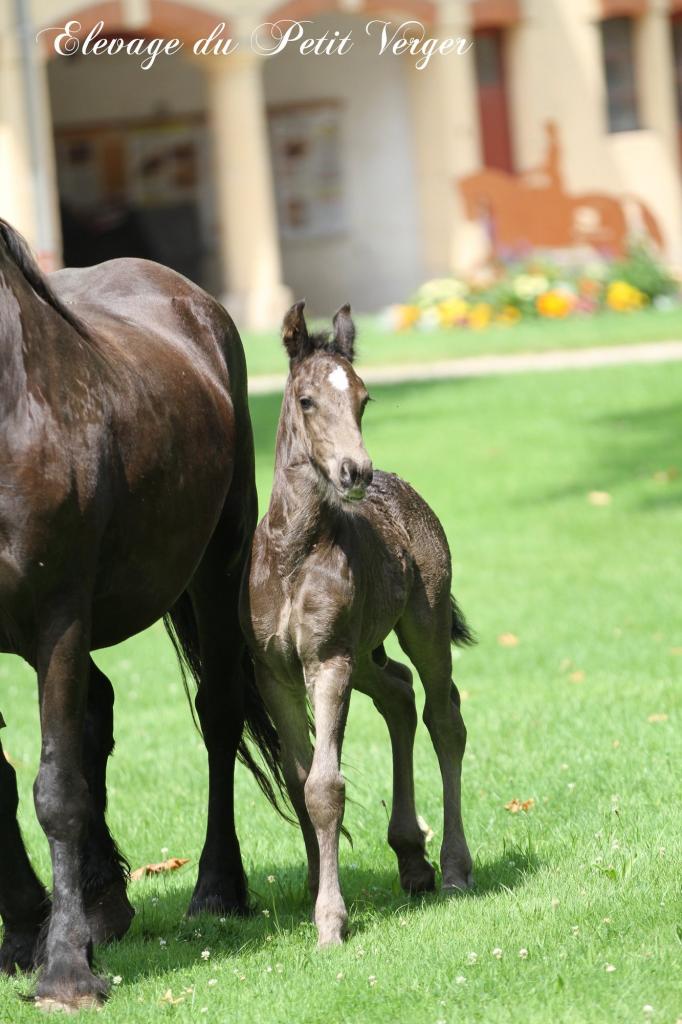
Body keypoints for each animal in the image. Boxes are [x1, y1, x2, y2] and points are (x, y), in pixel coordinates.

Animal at [0, 222, 280, 1007]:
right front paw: (27, 932)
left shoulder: (58, 621)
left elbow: (55, 789)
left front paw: (65, 969)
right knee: (97, 709)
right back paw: (102, 902)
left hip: (217, 565)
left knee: (217, 717)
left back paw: (216, 889)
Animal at [240, 301, 473, 942]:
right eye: (306, 400)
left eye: (365, 398)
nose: (355, 472)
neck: (294, 554)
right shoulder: (275, 673)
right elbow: (298, 780)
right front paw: (313, 890)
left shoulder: (328, 661)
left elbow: (325, 785)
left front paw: (330, 921)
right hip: (366, 652)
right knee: (398, 693)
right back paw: (412, 859)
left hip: (421, 625)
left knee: (444, 717)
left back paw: (453, 868)